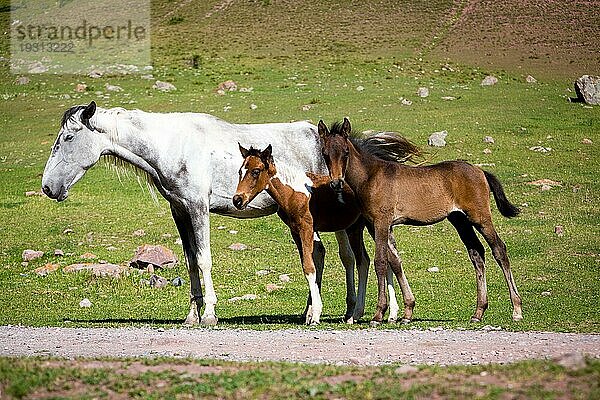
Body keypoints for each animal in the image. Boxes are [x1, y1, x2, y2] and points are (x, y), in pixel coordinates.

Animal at [42, 101, 390, 324]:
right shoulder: (180, 211)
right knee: (325, 254)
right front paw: (192, 315)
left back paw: (345, 312)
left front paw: (209, 314)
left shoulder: (198, 207)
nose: (47, 187)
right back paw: (316, 312)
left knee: (343, 257)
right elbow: (190, 262)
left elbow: (204, 259)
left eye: (68, 138)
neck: (171, 145)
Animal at [322, 118, 524, 324]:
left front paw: (379, 314)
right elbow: (395, 261)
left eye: (346, 152)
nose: (336, 183)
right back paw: (478, 312)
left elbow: (381, 262)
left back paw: (516, 309)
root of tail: (480, 171)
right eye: (325, 153)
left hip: (480, 217)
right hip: (460, 220)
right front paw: (407, 313)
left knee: (499, 249)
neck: (371, 176)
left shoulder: (381, 223)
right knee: (477, 253)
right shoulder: (376, 225)